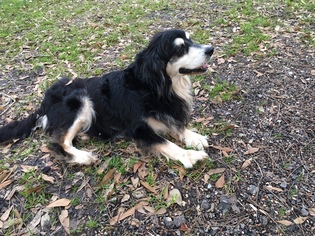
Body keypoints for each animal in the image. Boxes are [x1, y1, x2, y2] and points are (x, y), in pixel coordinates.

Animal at [0, 29, 215, 169]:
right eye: (180, 49)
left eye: (191, 40)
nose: (211, 49)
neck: (154, 87)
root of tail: (44, 101)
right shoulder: (138, 128)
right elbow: (166, 143)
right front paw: (190, 155)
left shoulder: (167, 112)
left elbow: (176, 125)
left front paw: (192, 136)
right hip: (80, 101)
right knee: (59, 143)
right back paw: (83, 157)